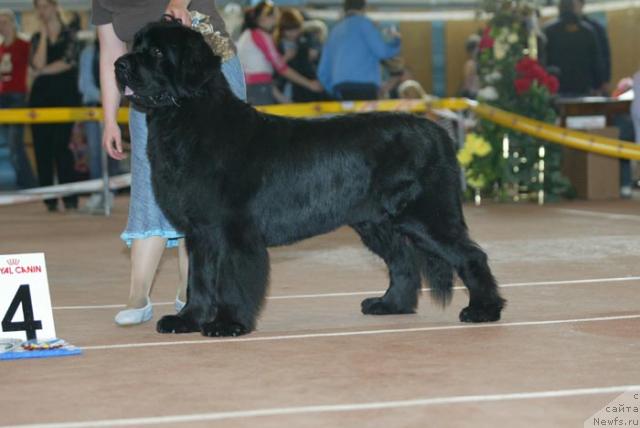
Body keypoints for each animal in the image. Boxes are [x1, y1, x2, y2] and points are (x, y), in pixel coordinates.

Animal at [115, 20, 504, 338]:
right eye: (135, 45)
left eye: (156, 52)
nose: (119, 65)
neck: (189, 121)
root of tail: (438, 131)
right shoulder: (200, 232)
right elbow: (199, 279)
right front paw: (188, 320)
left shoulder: (234, 229)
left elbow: (231, 280)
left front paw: (228, 323)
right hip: (377, 221)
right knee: (403, 262)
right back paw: (389, 304)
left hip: (426, 214)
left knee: (470, 255)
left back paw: (483, 309)